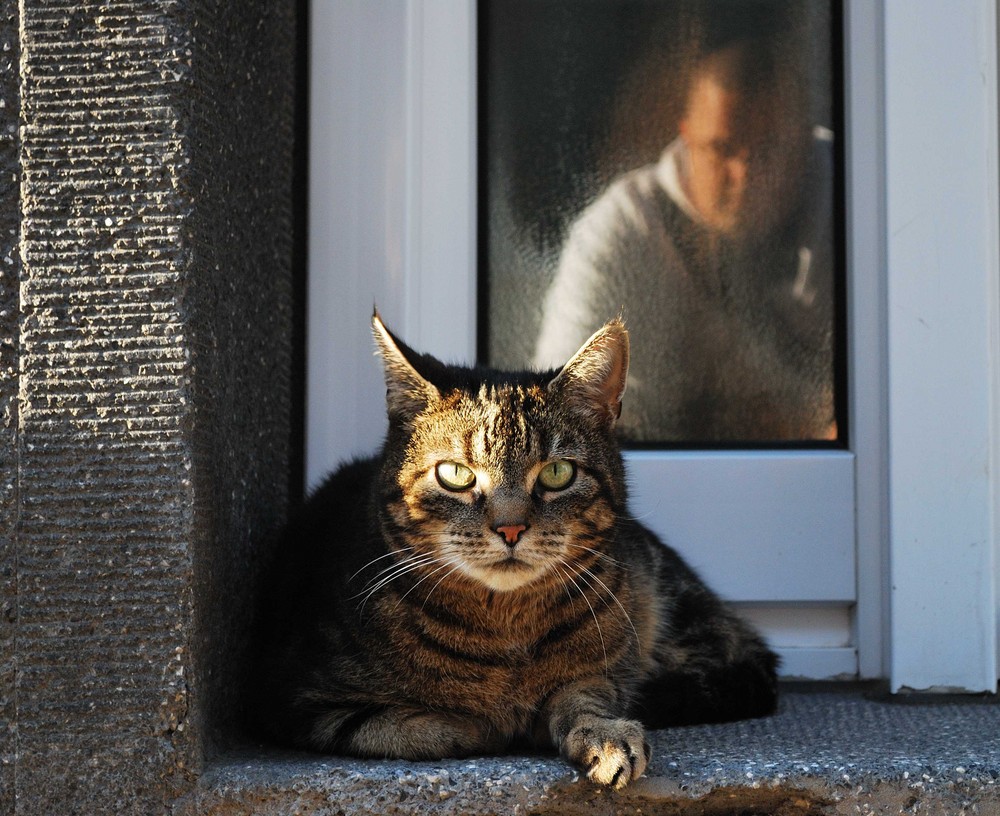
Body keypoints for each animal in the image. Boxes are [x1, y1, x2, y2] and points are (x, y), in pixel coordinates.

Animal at [254, 310, 776, 788]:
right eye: (455, 474)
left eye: (557, 473)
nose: (510, 528)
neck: (504, 629)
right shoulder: (299, 698)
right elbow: (422, 728)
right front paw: (493, 722)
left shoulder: (603, 673)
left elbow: (588, 699)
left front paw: (604, 735)